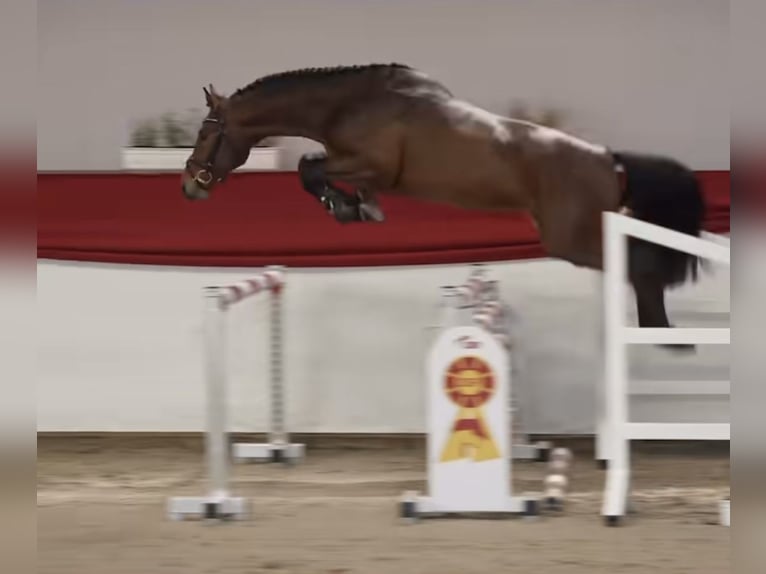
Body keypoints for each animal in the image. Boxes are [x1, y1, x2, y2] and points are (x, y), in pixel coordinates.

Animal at [180, 63, 705, 353]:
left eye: (206, 132)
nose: (189, 185)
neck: (350, 103)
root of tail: (607, 158)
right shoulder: (366, 170)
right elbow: (325, 175)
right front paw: (357, 209)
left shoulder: (370, 164)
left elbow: (309, 167)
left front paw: (344, 207)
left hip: (573, 239)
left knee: (640, 265)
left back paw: (664, 335)